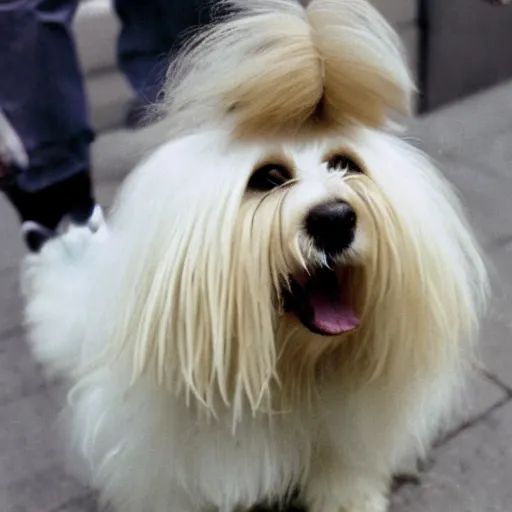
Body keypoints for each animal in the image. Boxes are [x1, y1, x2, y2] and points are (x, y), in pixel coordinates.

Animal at [23, 1, 488, 512]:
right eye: (267, 178)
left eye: (344, 164)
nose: (335, 219)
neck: (292, 370)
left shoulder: (341, 430)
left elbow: (342, 467)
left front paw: (349, 500)